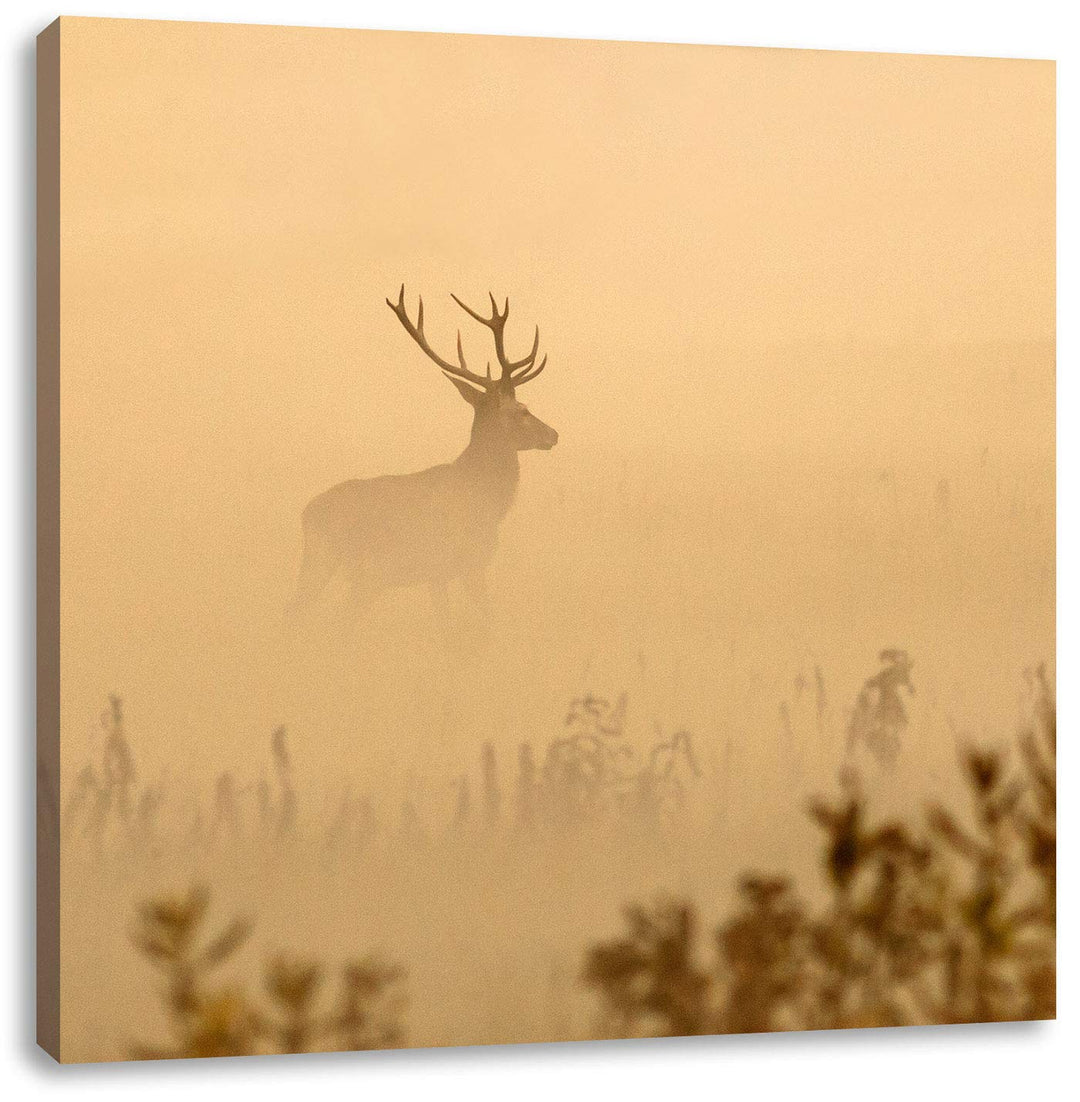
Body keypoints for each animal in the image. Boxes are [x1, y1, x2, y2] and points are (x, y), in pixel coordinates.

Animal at [287, 286, 558, 634]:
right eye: (522, 410)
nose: (553, 434)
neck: (485, 501)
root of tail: (307, 514)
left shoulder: (438, 576)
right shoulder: (463, 563)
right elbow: (480, 623)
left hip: (347, 572)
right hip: (342, 565)